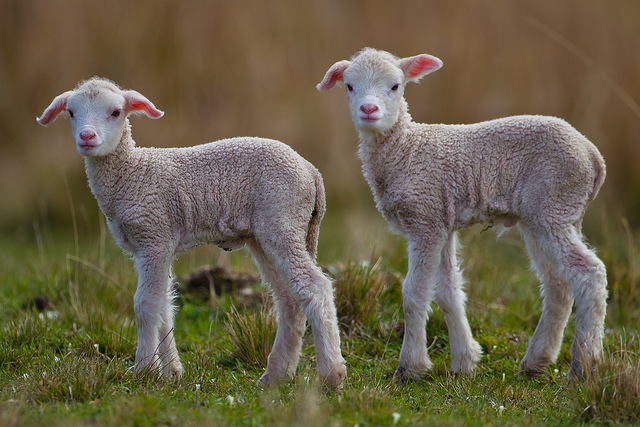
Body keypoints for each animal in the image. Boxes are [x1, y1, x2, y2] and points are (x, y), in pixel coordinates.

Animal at [37, 77, 348, 392]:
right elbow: (164, 304)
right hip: (266, 234)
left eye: (115, 112)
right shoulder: (153, 245)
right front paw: (171, 372)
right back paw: (275, 376)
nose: (87, 136)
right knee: (289, 299)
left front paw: (144, 370)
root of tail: (312, 172)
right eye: (71, 113)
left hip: (282, 220)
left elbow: (146, 304)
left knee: (316, 287)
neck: (131, 171)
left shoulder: (154, 237)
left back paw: (331, 376)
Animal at [318, 48, 608, 382]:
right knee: (558, 284)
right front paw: (465, 362)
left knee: (590, 274)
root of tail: (593, 156)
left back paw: (584, 365)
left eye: (395, 86)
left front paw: (410, 367)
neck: (406, 149)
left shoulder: (425, 220)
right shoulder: (441, 222)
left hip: (553, 205)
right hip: (548, 215)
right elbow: (448, 292)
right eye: (349, 86)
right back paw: (537, 361)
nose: (369, 109)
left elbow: (415, 294)